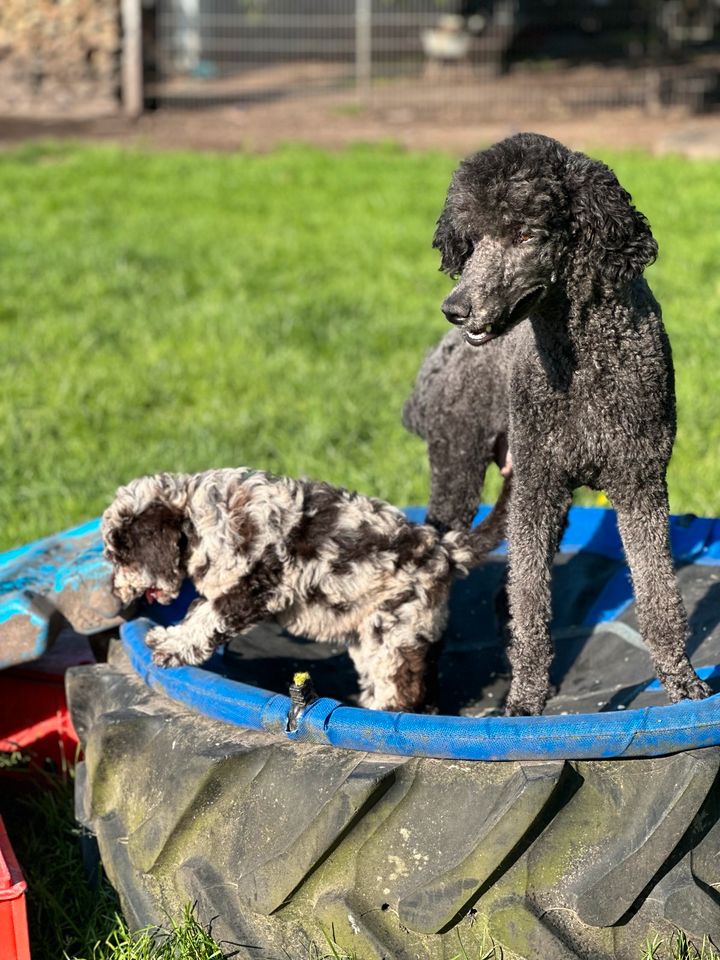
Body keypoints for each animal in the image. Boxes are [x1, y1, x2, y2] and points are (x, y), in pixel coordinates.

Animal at [101, 468, 510, 708]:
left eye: (120, 557)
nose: (115, 596)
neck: (199, 519)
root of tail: (442, 549)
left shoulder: (259, 585)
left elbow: (209, 617)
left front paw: (172, 647)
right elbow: (200, 610)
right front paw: (168, 635)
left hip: (395, 630)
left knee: (401, 688)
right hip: (373, 636)